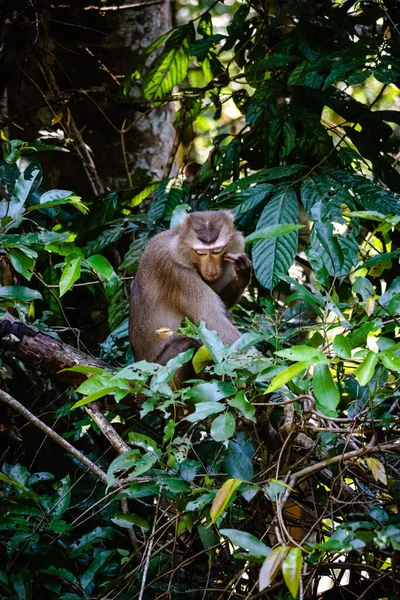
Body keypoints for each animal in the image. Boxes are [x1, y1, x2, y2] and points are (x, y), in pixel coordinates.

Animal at [130, 210, 252, 384]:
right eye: (201, 252)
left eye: (217, 251)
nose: (211, 271)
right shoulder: (176, 272)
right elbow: (210, 318)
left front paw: (243, 274)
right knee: (185, 344)